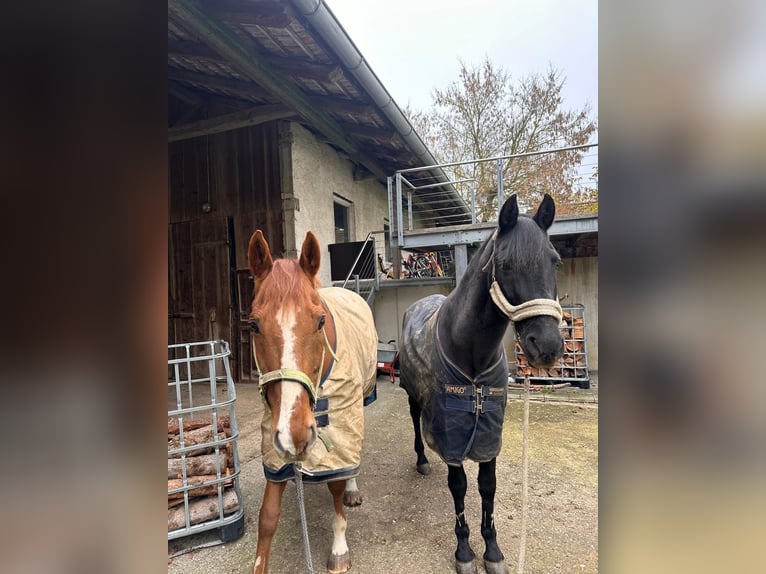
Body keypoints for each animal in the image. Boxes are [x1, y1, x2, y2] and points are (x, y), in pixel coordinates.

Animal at [249, 231, 378, 574]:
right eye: (253, 325)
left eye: (320, 321)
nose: (295, 434)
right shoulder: (273, 438)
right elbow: (267, 516)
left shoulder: (340, 424)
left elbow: (336, 488)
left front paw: (339, 549)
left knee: (351, 458)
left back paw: (352, 489)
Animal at [400, 195, 568, 574]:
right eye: (505, 265)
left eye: (555, 261)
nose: (548, 347)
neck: (470, 354)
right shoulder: (451, 432)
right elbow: (459, 486)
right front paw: (464, 551)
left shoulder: (490, 431)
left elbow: (487, 487)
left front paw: (492, 550)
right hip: (414, 396)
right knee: (416, 422)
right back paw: (422, 459)